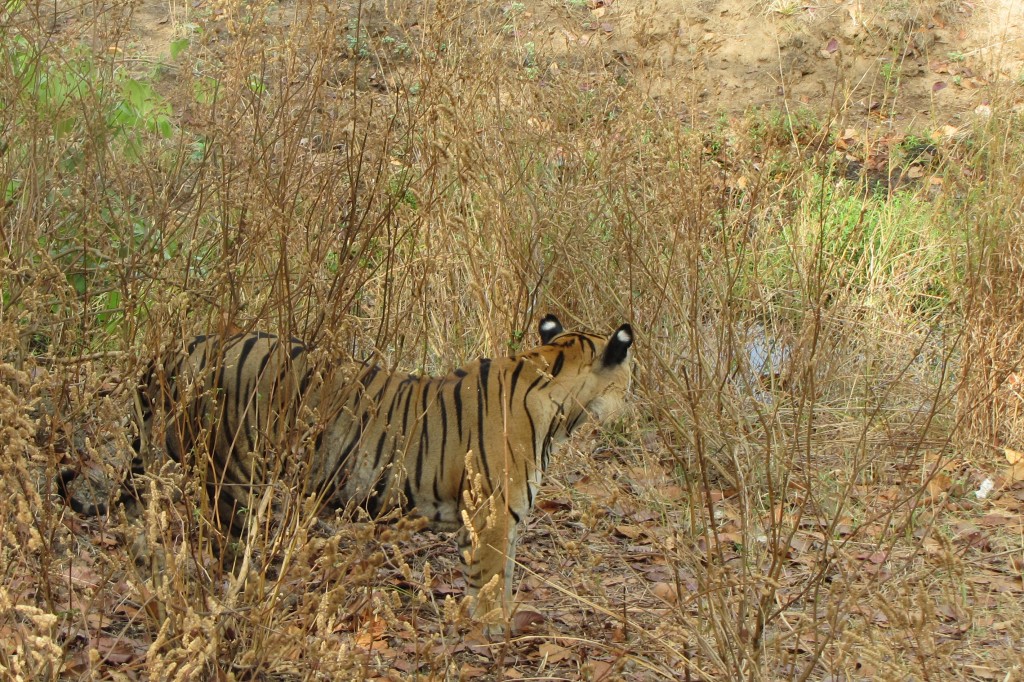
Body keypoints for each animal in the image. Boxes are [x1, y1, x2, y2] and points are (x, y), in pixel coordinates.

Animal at [58, 313, 630, 622]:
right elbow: (488, 586)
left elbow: (505, 581)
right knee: (226, 543)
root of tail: (182, 348)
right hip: (236, 474)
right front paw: (491, 639)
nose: (635, 399)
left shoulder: (506, 523)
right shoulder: (490, 519)